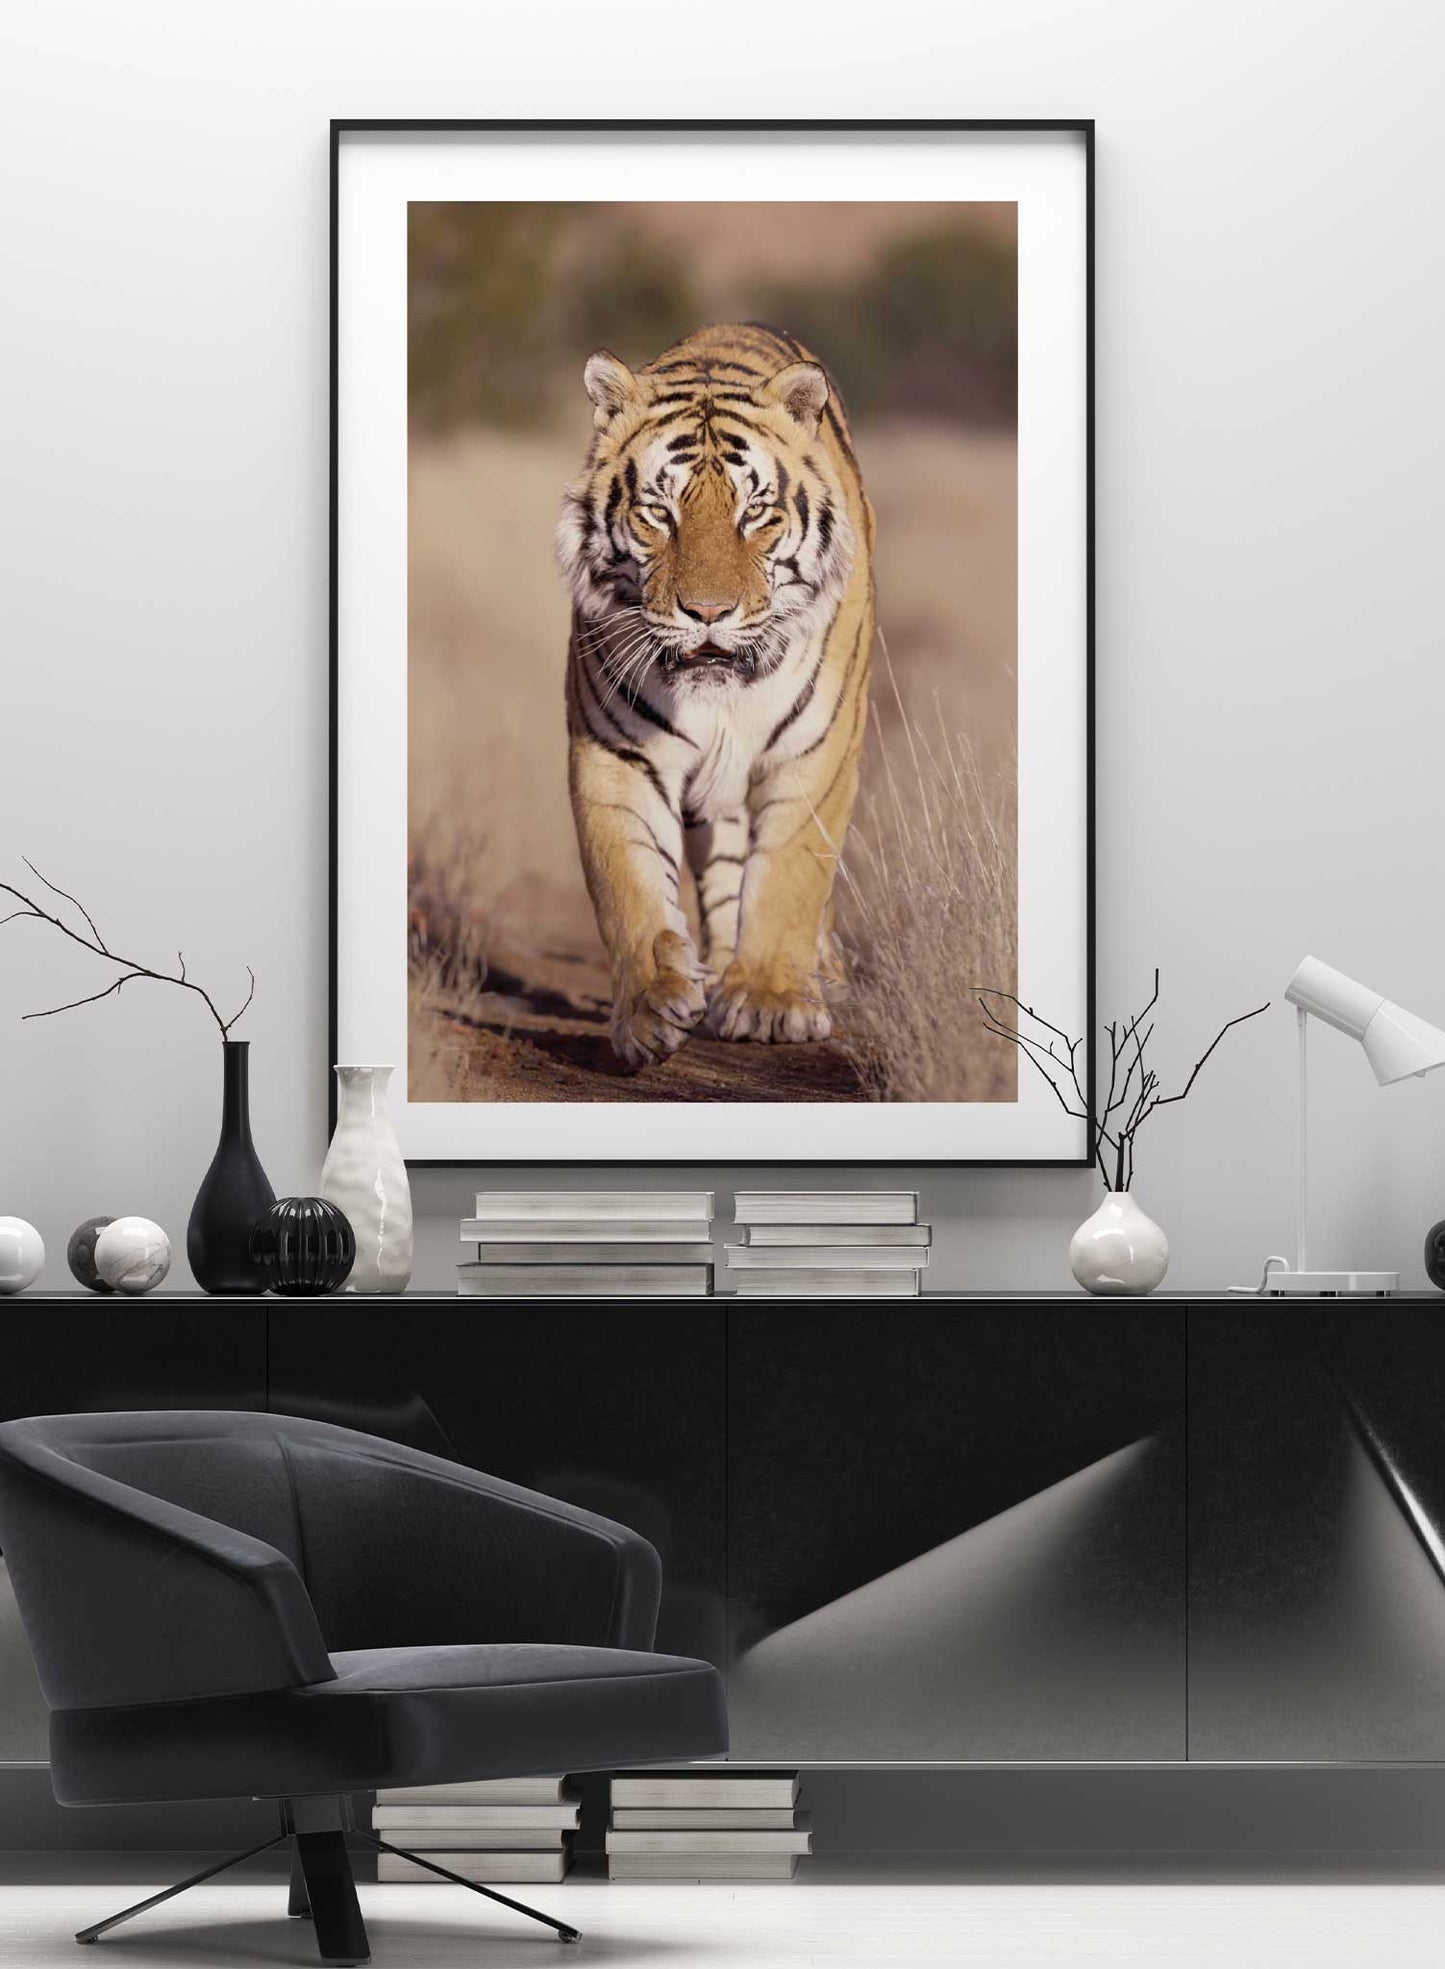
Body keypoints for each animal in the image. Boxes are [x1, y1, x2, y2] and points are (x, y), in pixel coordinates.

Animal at [556, 322, 875, 1070]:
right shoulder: (615, 753)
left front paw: (770, 1001)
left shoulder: (814, 753)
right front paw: (650, 1007)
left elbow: (790, 874)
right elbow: (627, 879)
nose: (707, 612)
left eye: (753, 512)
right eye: (658, 512)